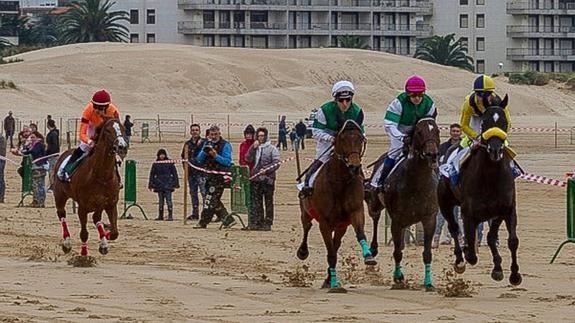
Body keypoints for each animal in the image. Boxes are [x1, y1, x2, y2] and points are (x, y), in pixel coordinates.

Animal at [52, 117, 127, 258]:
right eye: (108, 130)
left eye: (123, 128)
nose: (122, 146)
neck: (102, 176)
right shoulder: (83, 207)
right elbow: (84, 233)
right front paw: (84, 254)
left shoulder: (110, 204)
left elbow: (114, 232)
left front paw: (105, 238)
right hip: (60, 195)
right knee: (61, 214)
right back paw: (67, 243)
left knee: (96, 218)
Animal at [364, 117, 440, 292]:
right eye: (419, 131)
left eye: (437, 130)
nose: (432, 154)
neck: (417, 182)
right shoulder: (396, 220)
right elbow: (397, 252)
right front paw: (398, 278)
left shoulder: (429, 218)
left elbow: (427, 253)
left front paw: (428, 283)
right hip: (376, 204)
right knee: (375, 216)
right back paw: (373, 248)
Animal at [438, 94, 524, 286]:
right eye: (484, 122)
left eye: (504, 122)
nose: (495, 150)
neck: (491, 177)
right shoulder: (468, 213)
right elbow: (471, 252)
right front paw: (466, 254)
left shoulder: (506, 209)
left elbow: (511, 240)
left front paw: (512, 274)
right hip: (445, 202)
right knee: (454, 227)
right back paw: (459, 260)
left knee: (489, 237)